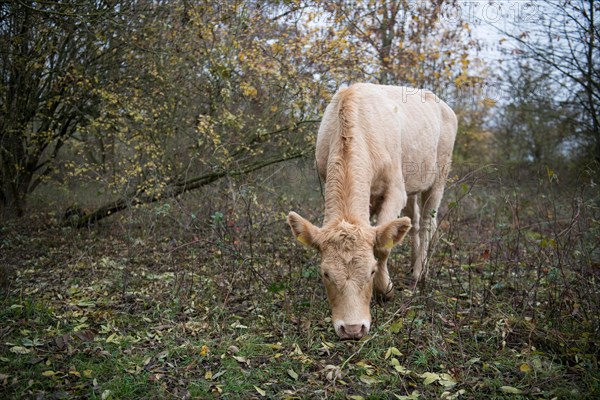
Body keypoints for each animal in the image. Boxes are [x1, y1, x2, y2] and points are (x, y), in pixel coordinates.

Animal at [286, 83, 454, 340]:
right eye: (325, 273)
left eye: (371, 271)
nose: (352, 329)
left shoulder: (395, 190)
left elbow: (383, 246)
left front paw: (386, 290)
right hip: (412, 185)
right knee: (414, 223)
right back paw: (414, 264)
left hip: (439, 176)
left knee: (428, 223)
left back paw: (419, 273)